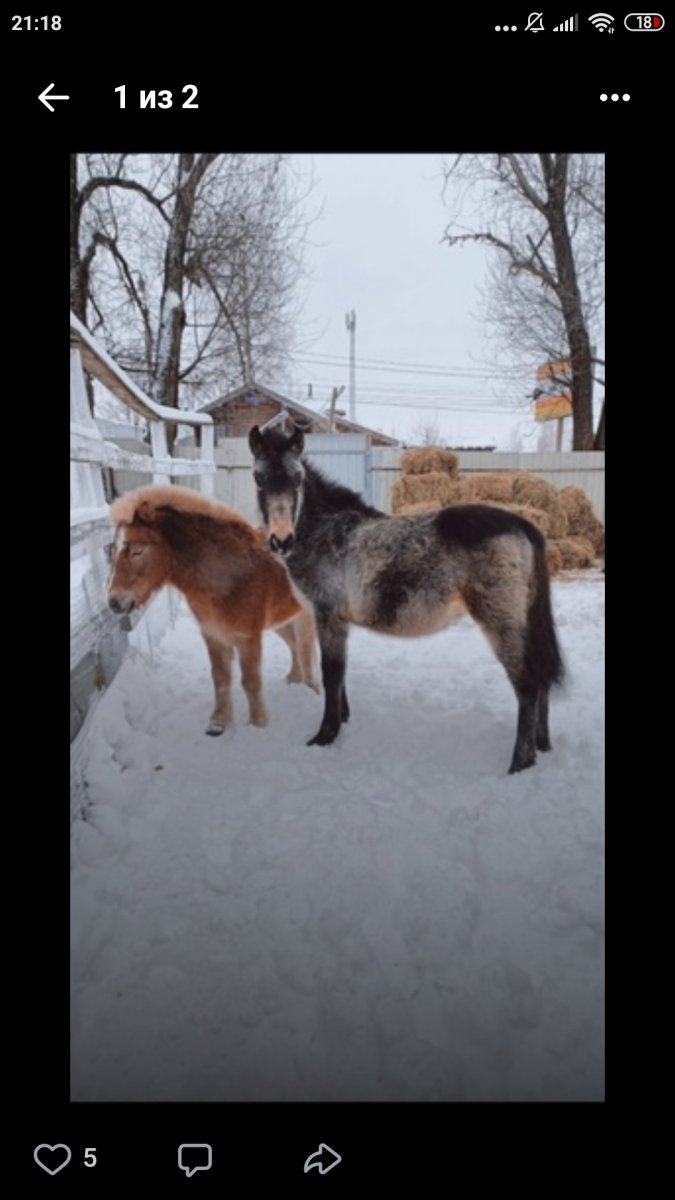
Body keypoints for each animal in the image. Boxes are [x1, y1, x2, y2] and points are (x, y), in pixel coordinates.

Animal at [107, 484, 320, 736]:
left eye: (137, 551)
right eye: (113, 551)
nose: (114, 602)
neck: (228, 576)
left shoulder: (247, 638)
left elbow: (251, 681)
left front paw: (258, 725)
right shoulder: (213, 635)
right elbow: (220, 678)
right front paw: (219, 723)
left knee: (306, 651)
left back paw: (314, 690)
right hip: (283, 621)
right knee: (295, 647)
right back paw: (295, 681)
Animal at [249, 423, 565, 774]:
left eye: (297, 479)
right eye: (259, 478)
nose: (281, 540)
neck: (326, 530)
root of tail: (525, 525)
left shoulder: (327, 615)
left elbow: (331, 673)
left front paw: (325, 735)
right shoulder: (338, 621)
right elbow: (341, 674)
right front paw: (343, 720)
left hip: (501, 622)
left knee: (528, 684)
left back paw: (520, 763)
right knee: (542, 679)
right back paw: (543, 745)